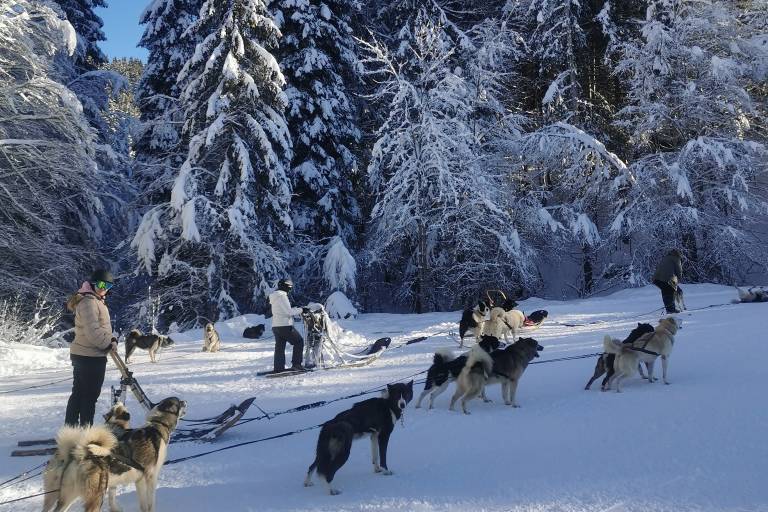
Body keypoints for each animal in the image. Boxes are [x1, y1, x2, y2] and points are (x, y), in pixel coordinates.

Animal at [42, 396, 187, 512]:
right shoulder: (151, 477)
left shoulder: (139, 480)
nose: (185, 401)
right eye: (179, 402)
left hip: (64, 496)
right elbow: (151, 503)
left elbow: (142, 505)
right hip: (96, 496)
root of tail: (78, 454)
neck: (157, 426)